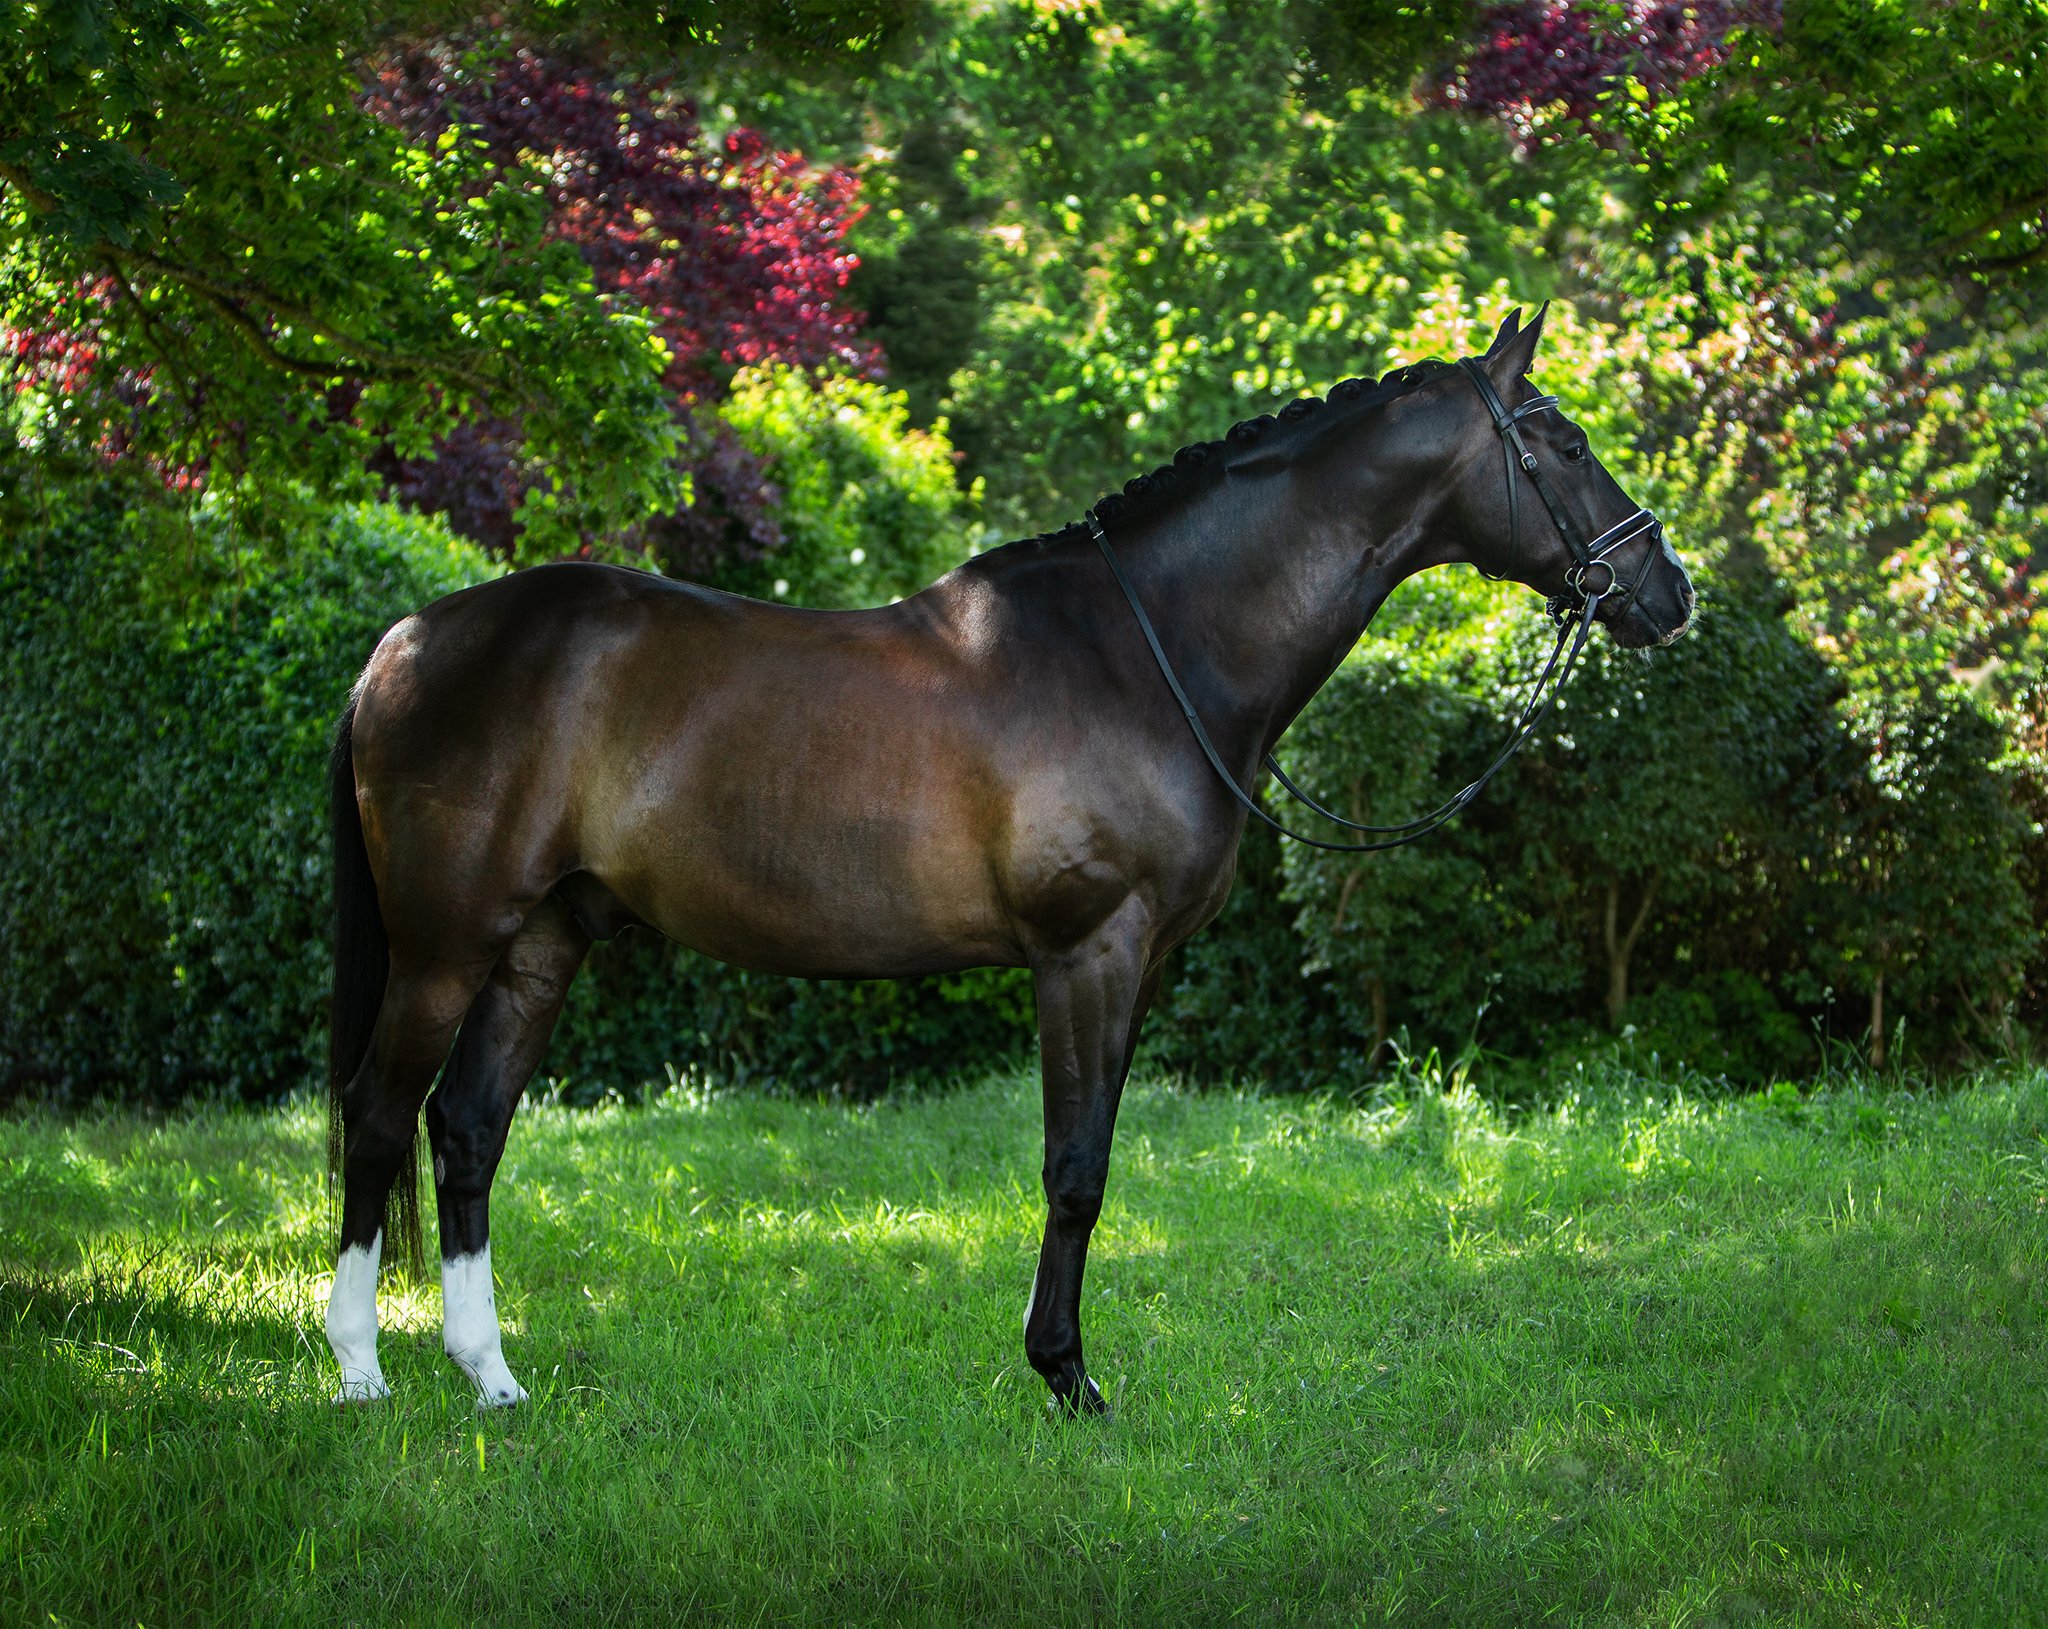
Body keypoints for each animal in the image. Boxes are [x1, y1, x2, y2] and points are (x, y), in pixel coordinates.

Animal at [323, 309, 1695, 1417]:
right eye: (1562, 440)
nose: (1667, 590)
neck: (1148, 651)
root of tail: (405, 639)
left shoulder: (1135, 966)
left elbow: (1092, 1158)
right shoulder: (1086, 952)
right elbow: (1073, 1170)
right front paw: (1067, 1380)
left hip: (540, 944)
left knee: (466, 1129)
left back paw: (492, 1379)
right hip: (445, 945)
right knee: (381, 1118)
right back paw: (359, 1374)